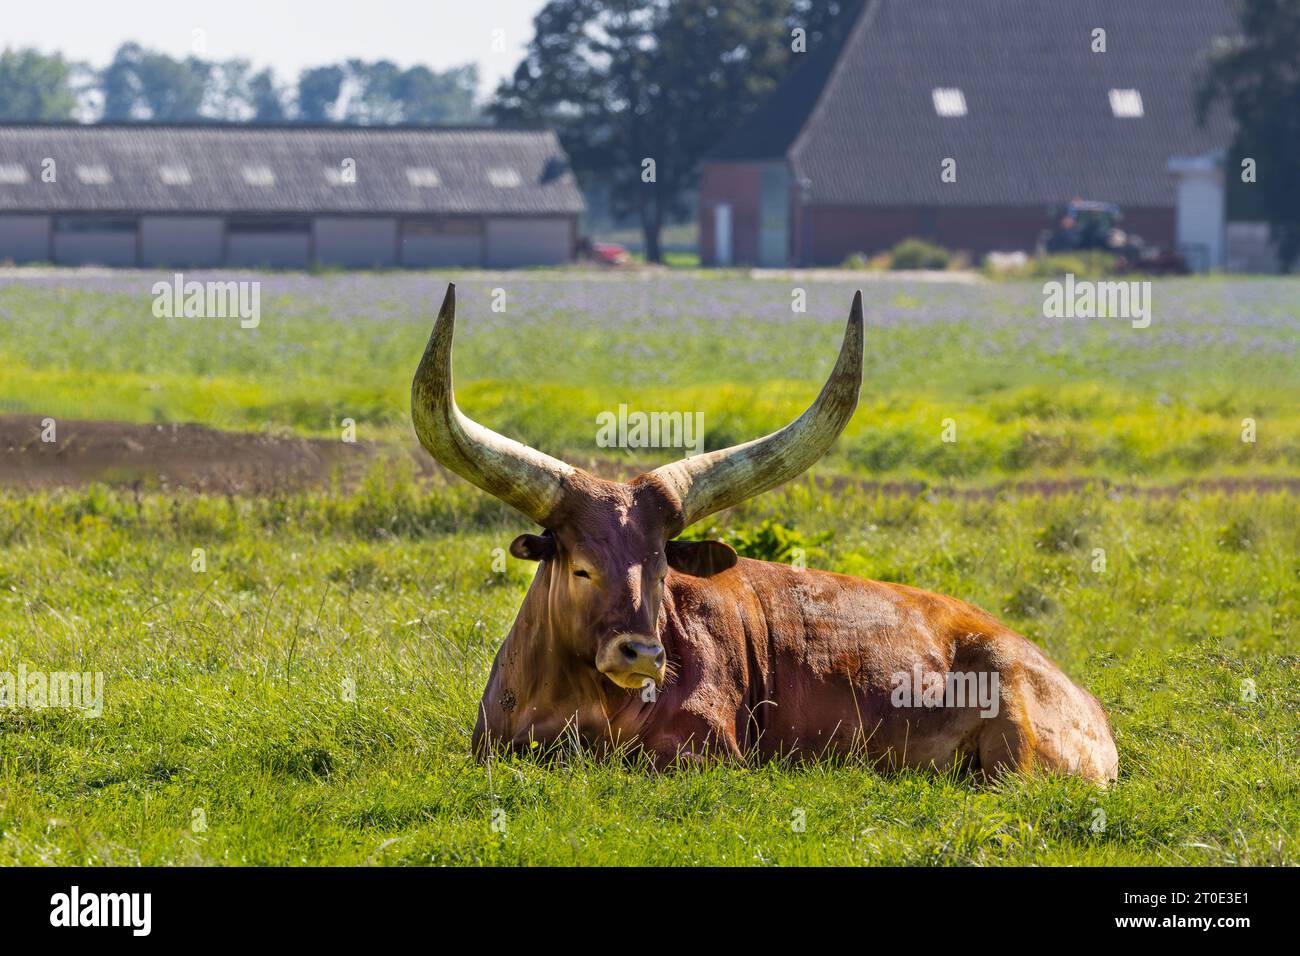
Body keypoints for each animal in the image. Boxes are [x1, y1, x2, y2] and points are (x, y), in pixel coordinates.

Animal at [413, 286, 1118, 785]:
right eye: (582, 566)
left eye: (662, 570)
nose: (641, 654)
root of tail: (1089, 708)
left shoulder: (706, 751)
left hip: (1016, 743)